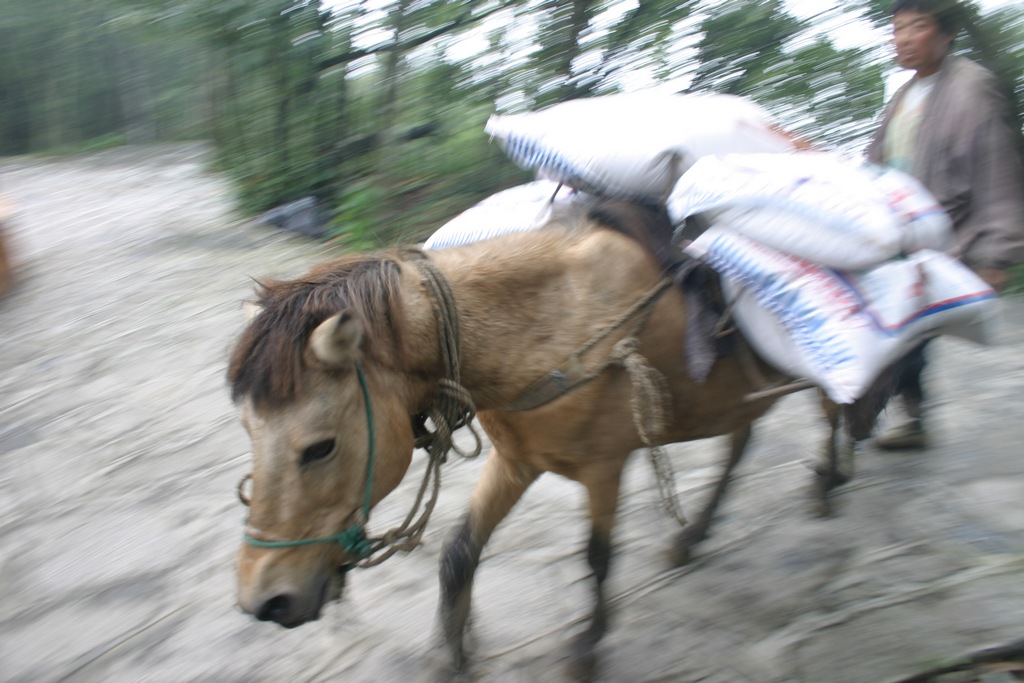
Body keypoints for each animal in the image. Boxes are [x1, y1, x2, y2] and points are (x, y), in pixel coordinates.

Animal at [228, 198, 851, 679]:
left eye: (320, 447)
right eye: (249, 431)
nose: (265, 601)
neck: (553, 323)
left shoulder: (605, 467)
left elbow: (598, 557)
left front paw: (587, 647)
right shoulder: (516, 461)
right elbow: (459, 553)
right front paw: (452, 652)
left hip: (816, 377)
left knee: (837, 412)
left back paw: (831, 480)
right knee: (740, 446)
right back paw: (695, 534)